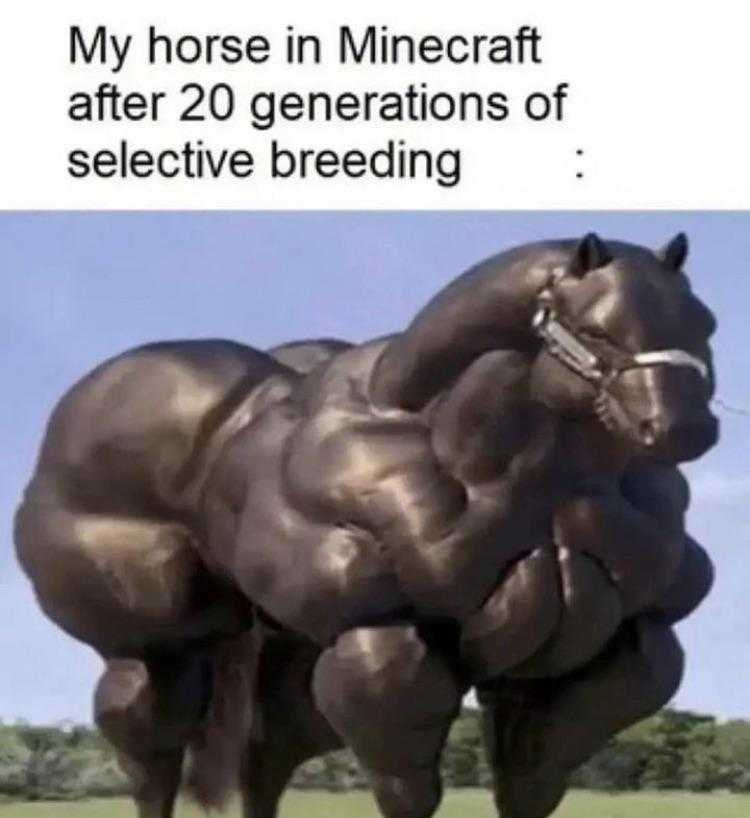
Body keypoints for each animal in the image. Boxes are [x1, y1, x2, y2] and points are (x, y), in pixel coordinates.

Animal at [16, 231, 716, 816]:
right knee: (151, 752)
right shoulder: (382, 637)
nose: (682, 427)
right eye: (596, 327)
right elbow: (409, 789)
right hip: (153, 649)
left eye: (704, 321)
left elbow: (532, 780)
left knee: (260, 757)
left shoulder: (599, 651)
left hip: (282, 655)